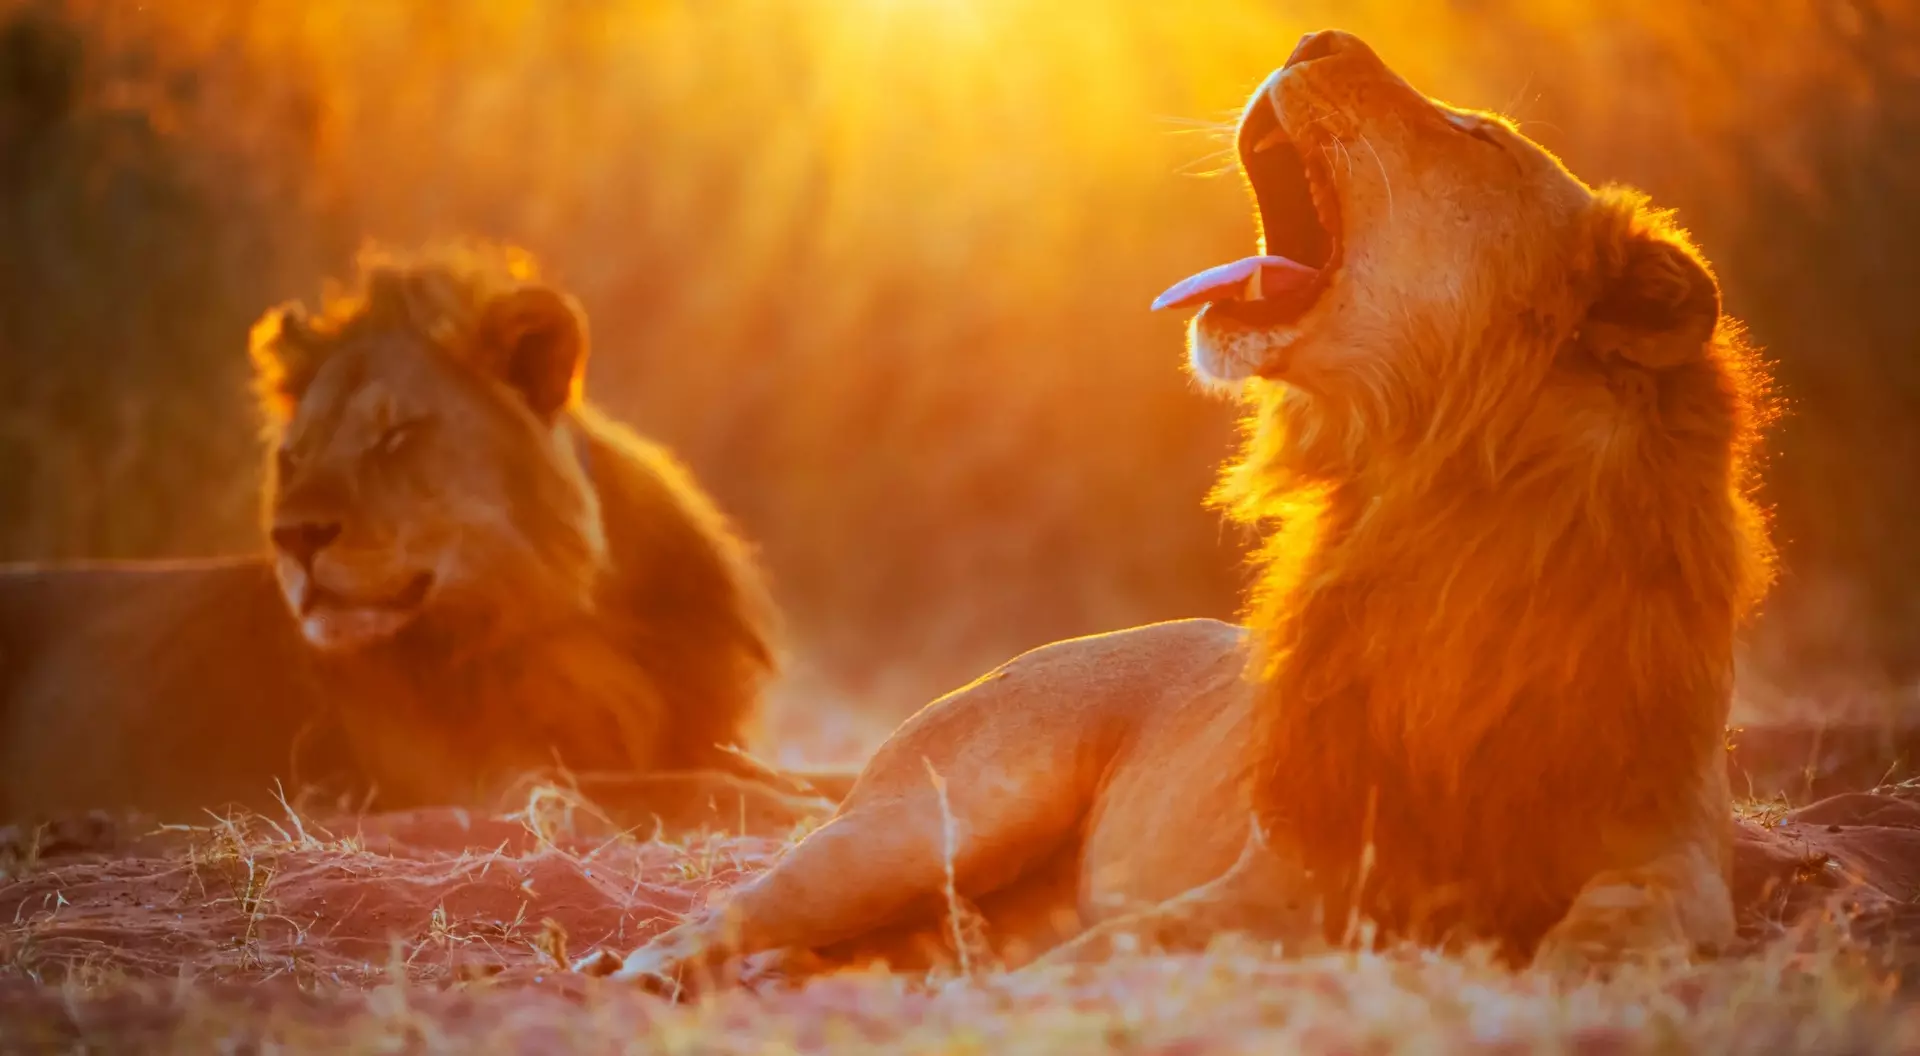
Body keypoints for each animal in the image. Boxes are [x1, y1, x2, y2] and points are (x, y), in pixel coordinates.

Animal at [0, 245, 847, 835]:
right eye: (294, 457)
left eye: (395, 437)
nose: (293, 537)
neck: (569, 622)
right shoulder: (486, 784)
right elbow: (682, 789)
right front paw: (795, 812)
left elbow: (824, 769)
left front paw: (821, 792)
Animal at [575, 30, 1776, 987]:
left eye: (1479, 138)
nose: (1317, 36)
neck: (1444, 509)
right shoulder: (1299, 861)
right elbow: (1134, 940)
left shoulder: (1668, 847)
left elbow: (1636, 912)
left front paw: (1585, 966)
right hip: (925, 823)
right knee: (724, 915)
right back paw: (634, 978)